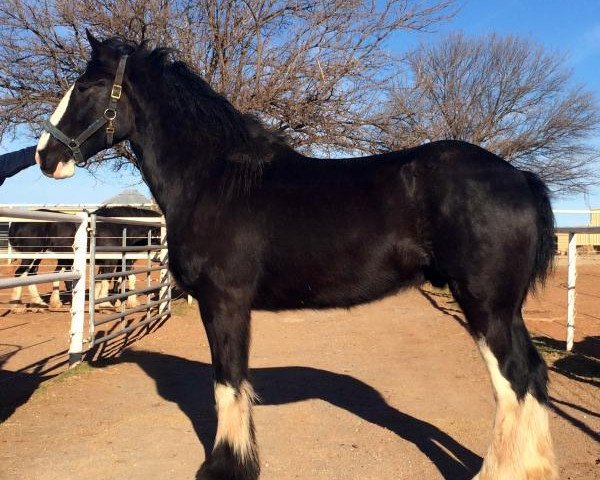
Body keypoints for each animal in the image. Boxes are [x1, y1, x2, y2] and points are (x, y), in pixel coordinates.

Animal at [32, 31, 556, 478]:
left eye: (87, 86)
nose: (44, 157)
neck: (214, 180)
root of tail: (517, 176)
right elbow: (235, 384)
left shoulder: (224, 303)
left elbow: (227, 383)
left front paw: (226, 468)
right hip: (504, 309)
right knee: (531, 374)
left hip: (485, 304)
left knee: (512, 379)